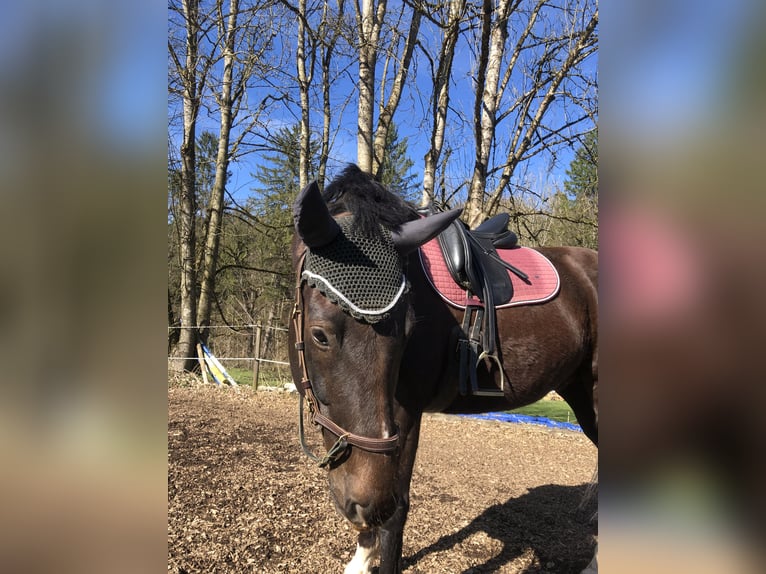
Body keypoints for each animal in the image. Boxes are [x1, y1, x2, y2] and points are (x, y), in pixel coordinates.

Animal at [288, 165, 600, 574]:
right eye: (319, 335)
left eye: (408, 333)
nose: (366, 504)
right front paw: (362, 556)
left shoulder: (405, 413)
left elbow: (398, 509)